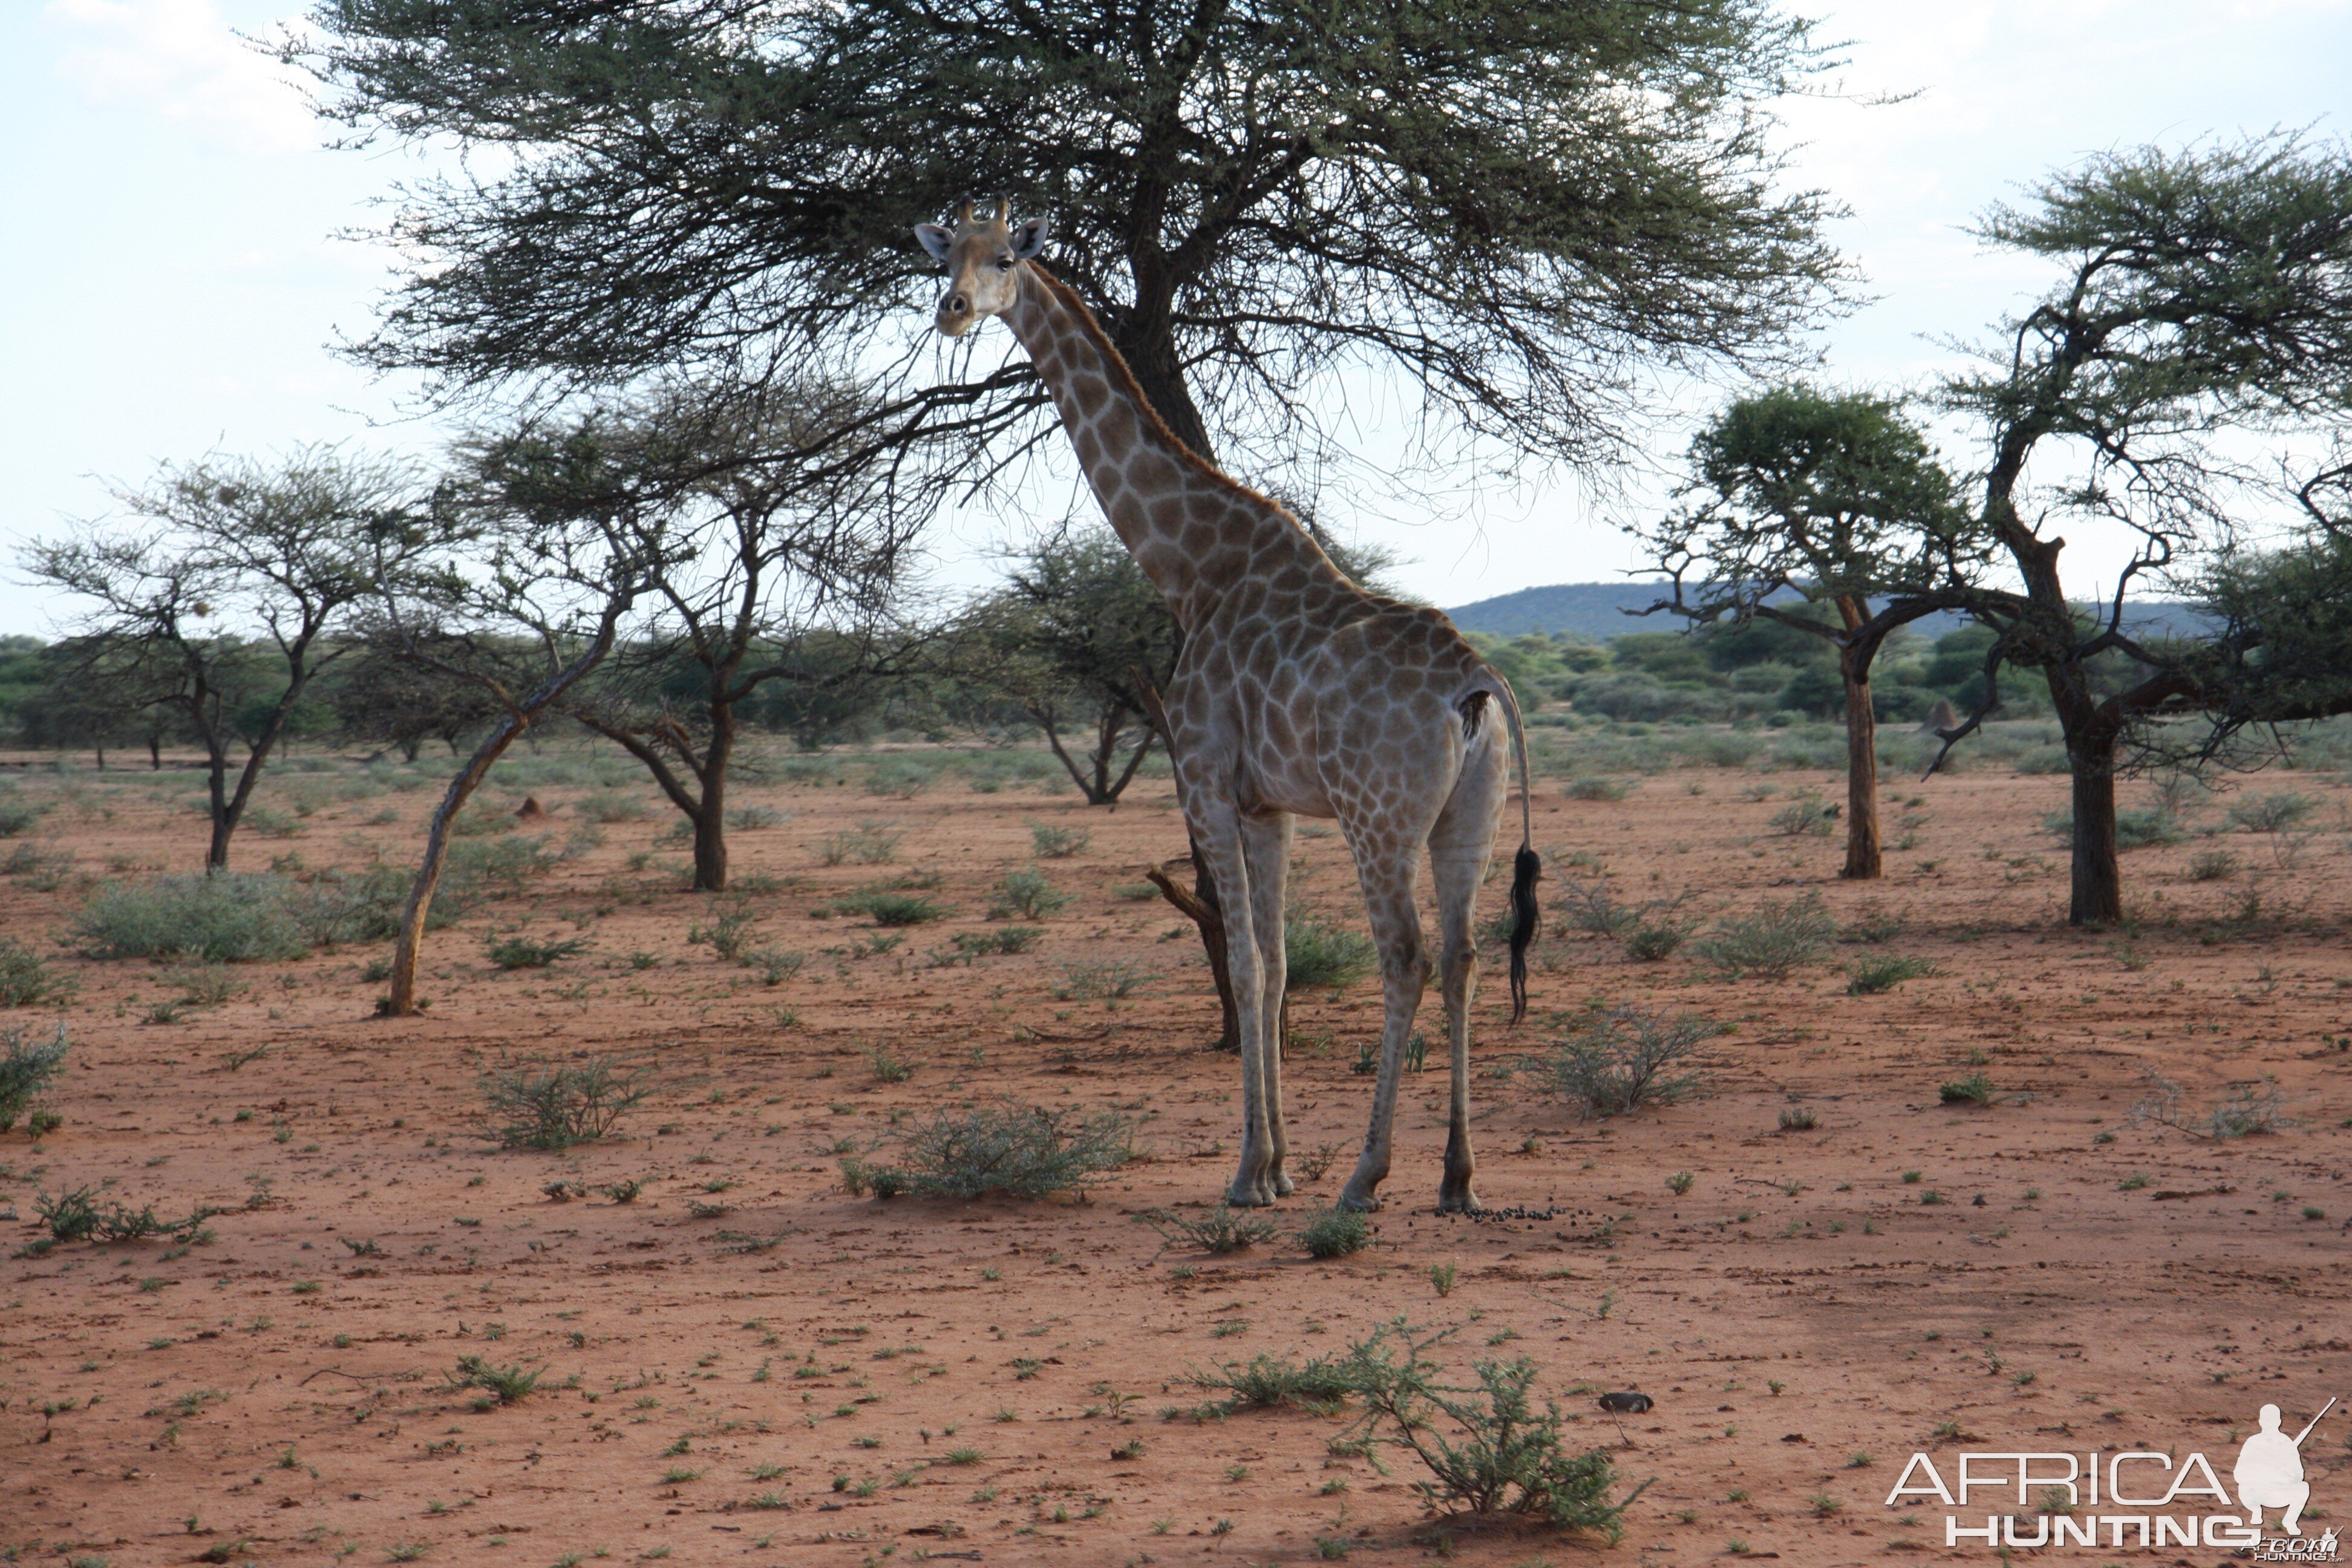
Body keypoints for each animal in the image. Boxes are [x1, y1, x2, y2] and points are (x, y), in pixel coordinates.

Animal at [917, 202, 1543, 1213]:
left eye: (1006, 258)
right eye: (949, 258)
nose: (955, 311)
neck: (1190, 571)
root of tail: (1475, 688)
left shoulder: (1203, 779)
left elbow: (1244, 965)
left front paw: (1251, 1173)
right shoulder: (1268, 806)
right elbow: (1280, 966)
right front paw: (1278, 1164)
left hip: (1377, 816)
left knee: (1405, 955)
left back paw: (1367, 1175)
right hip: (1468, 818)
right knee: (1463, 957)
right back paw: (1457, 1178)